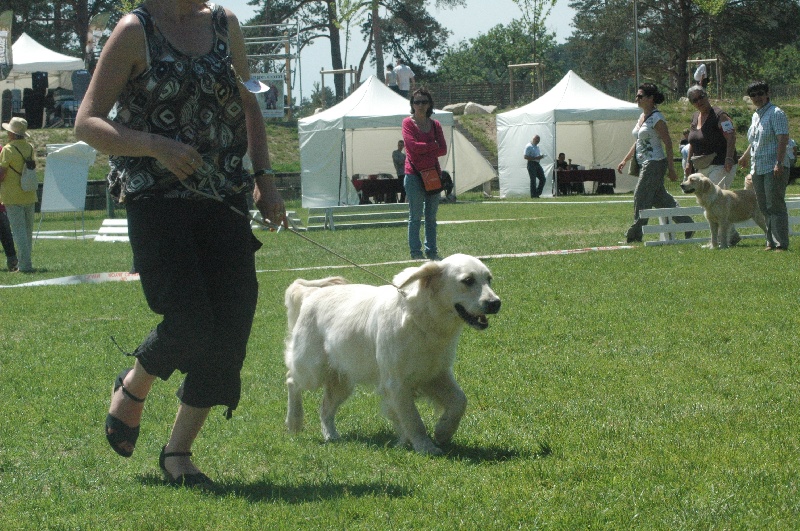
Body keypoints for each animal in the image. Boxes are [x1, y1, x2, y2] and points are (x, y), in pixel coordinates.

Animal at [284, 256, 500, 456]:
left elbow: (460, 401)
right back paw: (294, 422)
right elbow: (413, 420)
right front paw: (425, 447)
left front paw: (443, 431)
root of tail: (312, 294)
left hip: (342, 380)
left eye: (489, 279)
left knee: (325, 408)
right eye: (468, 280)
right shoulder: (397, 383)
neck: (423, 320)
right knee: (291, 380)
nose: (496, 303)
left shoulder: (435, 374)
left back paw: (331, 436)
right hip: (312, 369)